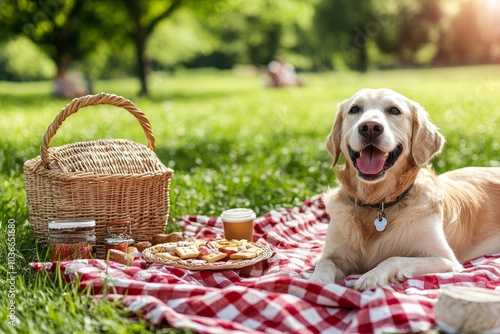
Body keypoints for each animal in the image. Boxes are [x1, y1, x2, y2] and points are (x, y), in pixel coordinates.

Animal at [308, 88, 500, 290]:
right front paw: (316, 281)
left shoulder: (446, 260)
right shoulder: (336, 254)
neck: (377, 203)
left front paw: (371, 276)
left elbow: (395, 258)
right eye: (355, 109)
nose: (370, 127)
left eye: (394, 110)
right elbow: (325, 262)